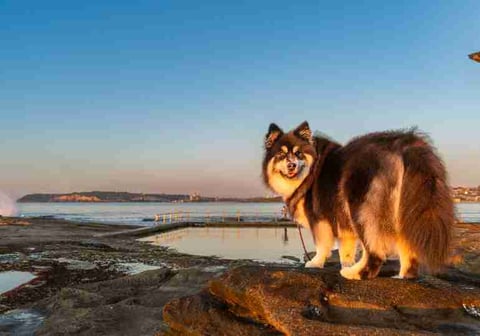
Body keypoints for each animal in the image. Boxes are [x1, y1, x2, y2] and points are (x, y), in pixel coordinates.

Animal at [262, 122, 454, 280]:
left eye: (298, 153)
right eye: (281, 154)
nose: (291, 165)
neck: (309, 172)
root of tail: (404, 145)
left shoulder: (319, 219)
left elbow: (322, 246)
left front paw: (315, 263)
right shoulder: (342, 224)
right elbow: (345, 252)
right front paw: (346, 264)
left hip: (361, 209)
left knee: (375, 253)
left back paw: (355, 274)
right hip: (404, 213)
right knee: (408, 252)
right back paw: (401, 276)